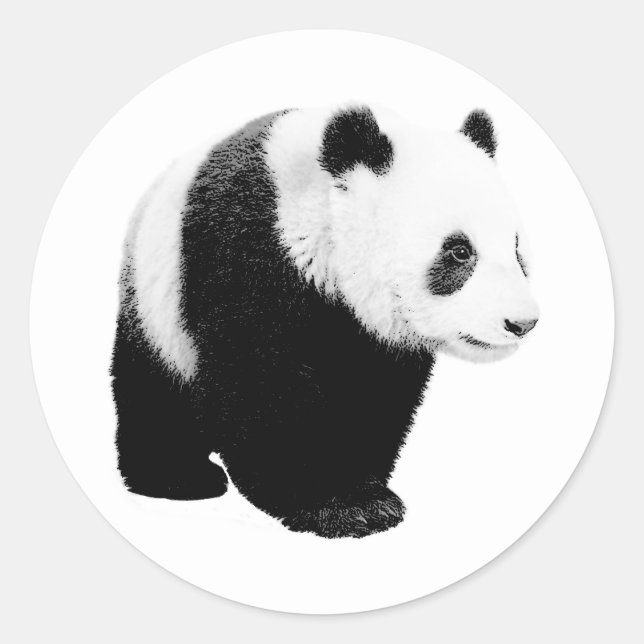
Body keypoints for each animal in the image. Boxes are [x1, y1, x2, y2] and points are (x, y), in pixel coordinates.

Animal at [111, 104, 539, 539]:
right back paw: (178, 477)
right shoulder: (244, 252)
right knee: (153, 393)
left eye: (517, 250)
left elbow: (375, 394)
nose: (522, 322)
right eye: (458, 251)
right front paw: (337, 505)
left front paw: (364, 488)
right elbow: (260, 380)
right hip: (156, 307)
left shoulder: (371, 335)